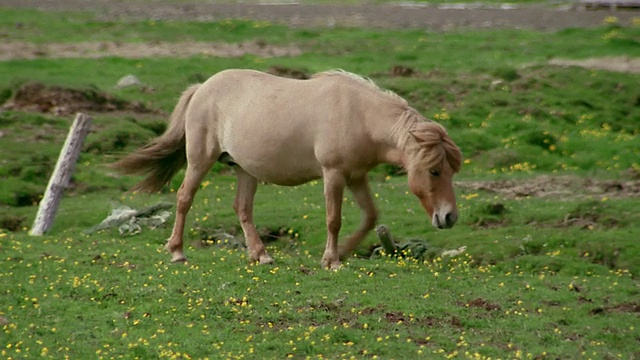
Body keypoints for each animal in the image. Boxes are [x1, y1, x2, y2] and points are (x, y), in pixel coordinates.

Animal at [112, 69, 462, 268]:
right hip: (201, 160)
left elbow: (370, 217)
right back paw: (178, 252)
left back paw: (261, 254)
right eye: (434, 171)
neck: (360, 115)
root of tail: (202, 87)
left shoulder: (356, 176)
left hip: (245, 169)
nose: (449, 217)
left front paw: (343, 252)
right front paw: (332, 259)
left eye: (451, 171)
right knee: (185, 198)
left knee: (242, 208)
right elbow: (333, 219)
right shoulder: (333, 174)